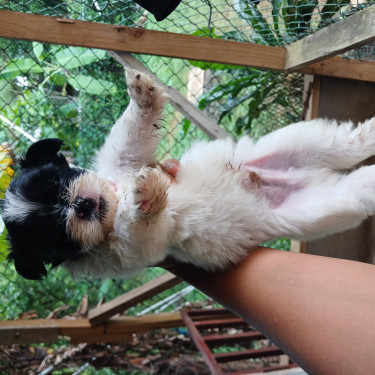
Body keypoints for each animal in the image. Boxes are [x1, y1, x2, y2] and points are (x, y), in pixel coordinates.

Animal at [2, 70, 375, 280]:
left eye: (57, 182)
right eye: (54, 232)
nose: (81, 204)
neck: (115, 200)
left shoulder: (121, 163)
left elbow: (130, 136)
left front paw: (143, 95)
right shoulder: (135, 249)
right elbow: (138, 226)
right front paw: (147, 196)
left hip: (290, 146)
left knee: (343, 145)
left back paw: (367, 134)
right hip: (321, 204)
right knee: (357, 185)